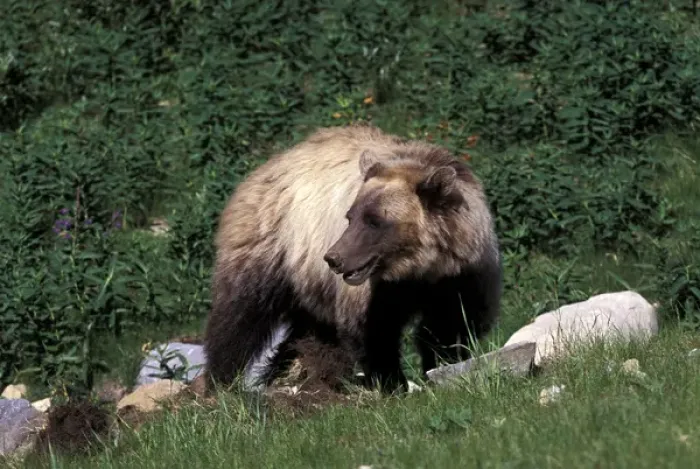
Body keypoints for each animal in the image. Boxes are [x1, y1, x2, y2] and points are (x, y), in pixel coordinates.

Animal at [203, 124, 502, 393]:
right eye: (350, 216)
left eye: (375, 221)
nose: (334, 258)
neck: (419, 267)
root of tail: (264, 168)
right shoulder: (376, 287)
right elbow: (374, 328)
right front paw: (392, 383)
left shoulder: (462, 275)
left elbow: (451, 322)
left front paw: (443, 365)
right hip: (272, 244)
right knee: (240, 314)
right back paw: (221, 382)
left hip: (309, 280)